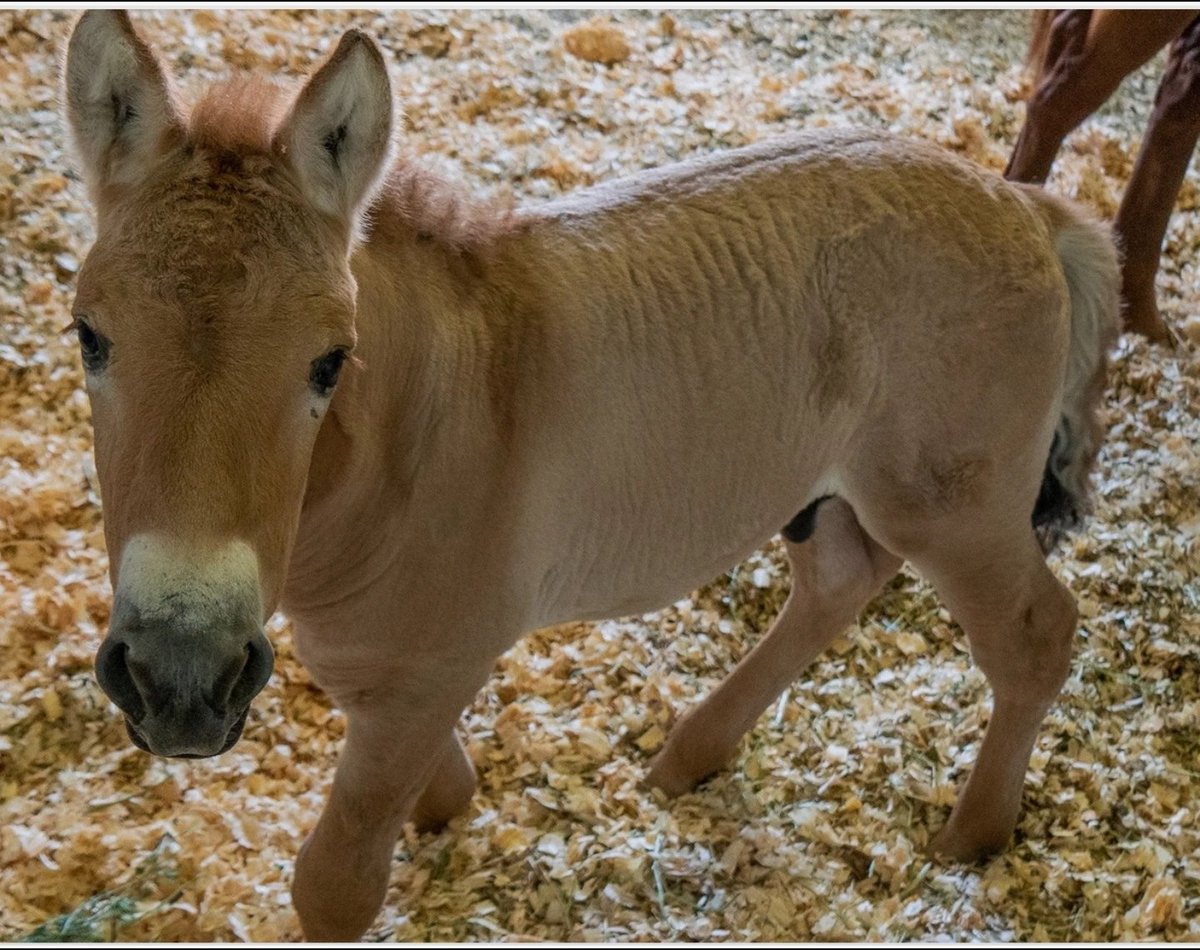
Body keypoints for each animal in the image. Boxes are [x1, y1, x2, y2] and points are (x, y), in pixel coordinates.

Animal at [62, 11, 1119, 941]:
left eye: (330, 361)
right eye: (88, 336)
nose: (179, 679)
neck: (423, 432)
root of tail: (1025, 207)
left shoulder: (427, 674)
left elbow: (337, 883)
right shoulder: (378, 666)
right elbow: (424, 774)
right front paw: (452, 806)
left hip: (953, 507)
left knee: (1035, 634)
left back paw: (973, 833)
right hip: (826, 492)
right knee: (840, 582)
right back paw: (691, 756)